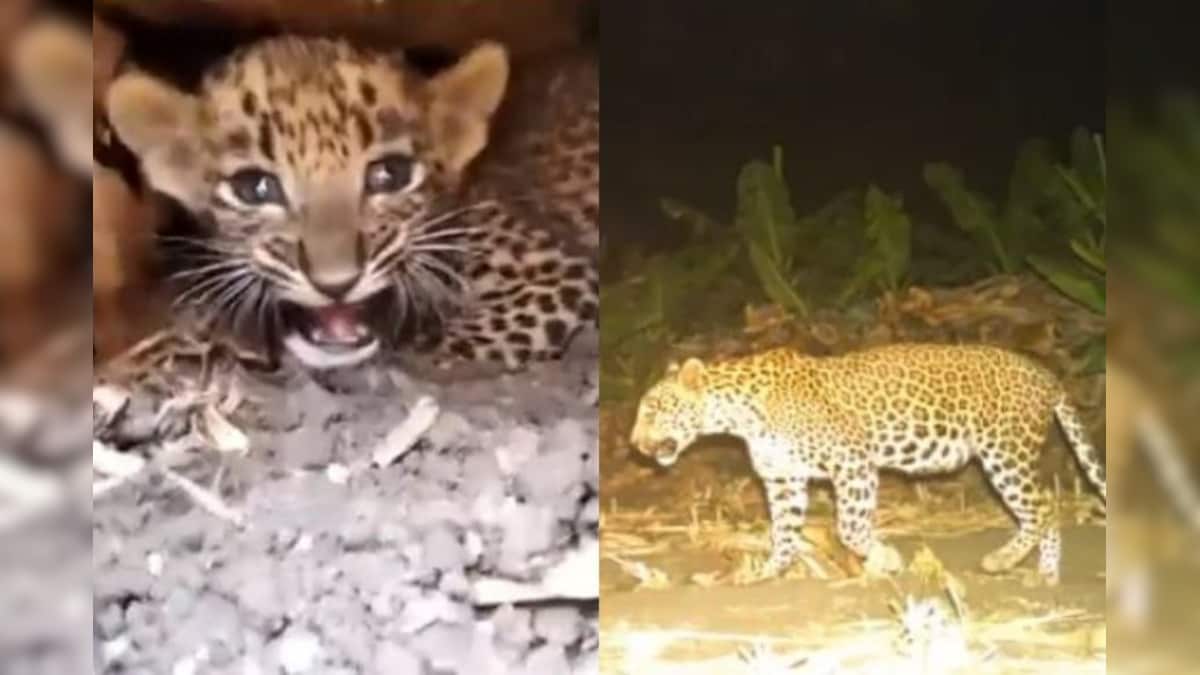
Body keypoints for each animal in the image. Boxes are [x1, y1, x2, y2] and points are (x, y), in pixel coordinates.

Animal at [630, 343, 1107, 585]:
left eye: (654, 409)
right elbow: (783, 533)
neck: (737, 414)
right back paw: (1046, 575)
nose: (634, 445)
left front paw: (885, 559)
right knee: (1046, 509)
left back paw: (1002, 561)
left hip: (1004, 453)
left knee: (1042, 507)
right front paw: (768, 572)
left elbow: (850, 527)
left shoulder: (852, 462)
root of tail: (1047, 375)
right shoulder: (784, 479)